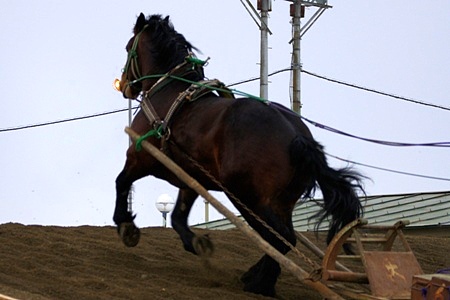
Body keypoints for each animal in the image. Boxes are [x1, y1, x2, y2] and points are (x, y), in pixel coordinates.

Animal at [114, 12, 364, 296]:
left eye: (128, 48)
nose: (125, 86)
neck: (168, 92)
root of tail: (296, 135)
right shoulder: (192, 177)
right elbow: (178, 217)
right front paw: (196, 243)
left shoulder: (140, 157)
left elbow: (121, 182)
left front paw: (126, 225)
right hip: (278, 202)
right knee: (281, 238)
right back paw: (257, 277)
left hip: (246, 196)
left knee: (279, 238)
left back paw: (260, 284)